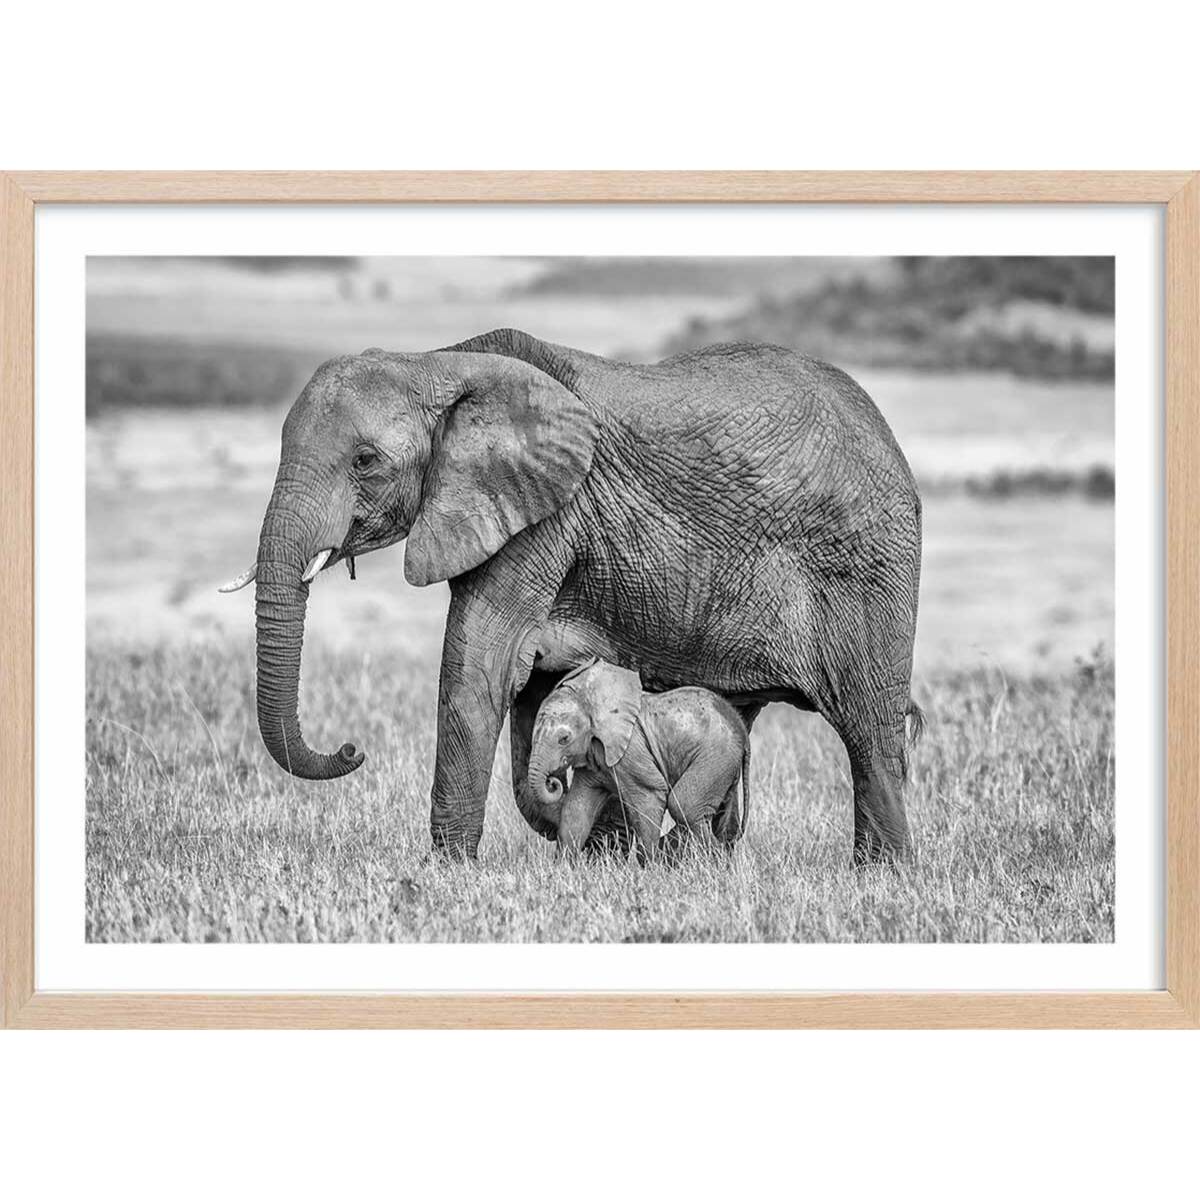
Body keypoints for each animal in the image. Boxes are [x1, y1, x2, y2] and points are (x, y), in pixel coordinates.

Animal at [527, 660, 751, 861]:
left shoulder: (631, 753)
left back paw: (716, 861)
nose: (552, 782)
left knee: (684, 805)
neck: (593, 703)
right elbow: (576, 809)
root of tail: (740, 726)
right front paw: (562, 867)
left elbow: (648, 797)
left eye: (564, 739)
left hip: (716, 755)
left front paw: (651, 869)